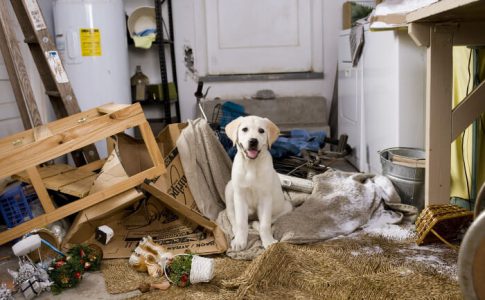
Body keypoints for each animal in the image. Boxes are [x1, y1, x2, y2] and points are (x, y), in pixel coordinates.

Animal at [224, 115, 292, 251]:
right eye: (244, 129)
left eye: (261, 131)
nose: (253, 141)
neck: (251, 165)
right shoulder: (240, 196)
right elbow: (241, 222)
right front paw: (240, 240)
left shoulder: (265, 198)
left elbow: (265, 223)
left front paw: (268, 241)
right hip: (229, 189)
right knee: (231, 215)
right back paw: (236, 231)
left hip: (287, 206)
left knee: (267, 220)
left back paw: (256, 224)